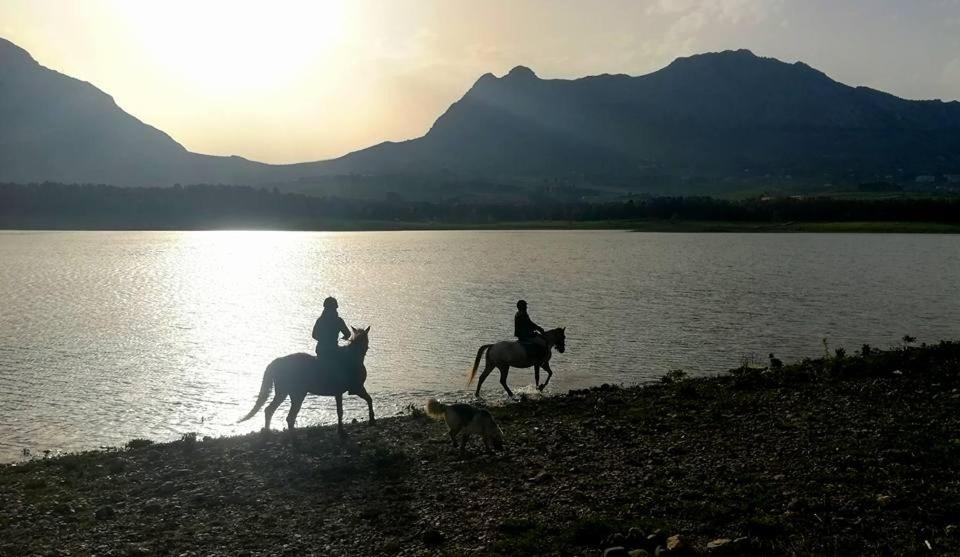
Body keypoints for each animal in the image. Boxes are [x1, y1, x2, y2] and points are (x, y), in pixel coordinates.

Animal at [238, 324, 374, 436]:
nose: (366, 349)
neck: (350, 358)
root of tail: (278, 361)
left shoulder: (348, 391)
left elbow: (366, 400)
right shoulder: (352, 389)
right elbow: (343, 410)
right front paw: (345, 430)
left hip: (288, 394)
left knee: (275, 412)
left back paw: (270, 432)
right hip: (292, 394)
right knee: (283, 414)